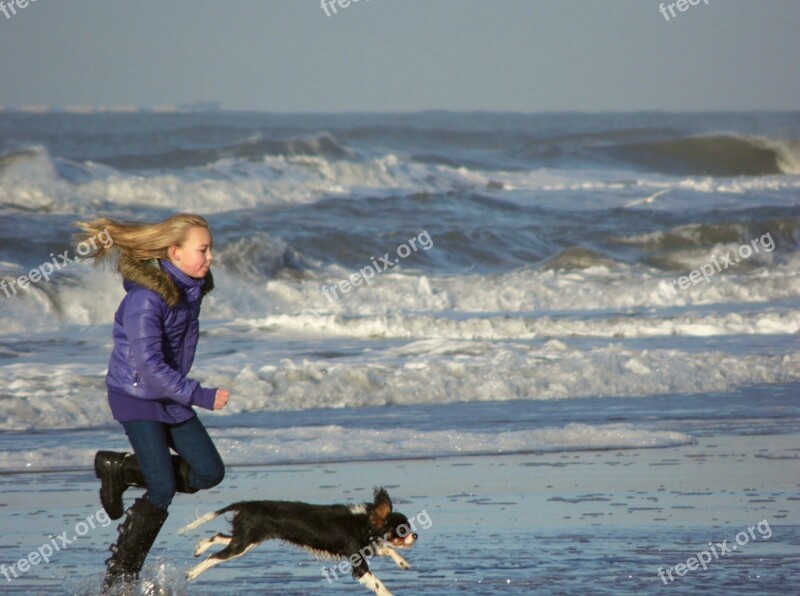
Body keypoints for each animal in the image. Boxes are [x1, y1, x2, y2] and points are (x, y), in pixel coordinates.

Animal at [180, 486, 418, 592]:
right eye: (403, 529)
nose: (416, 535)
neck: (364, 521)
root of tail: (247, 505)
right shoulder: (358, 561)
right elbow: (377, 583)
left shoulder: (365, 546)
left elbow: (386, 549)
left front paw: (403, 563)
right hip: (244, 543)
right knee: (214, 557)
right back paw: (192, 572)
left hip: (248, 539)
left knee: (219, 538)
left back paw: (199, 547)